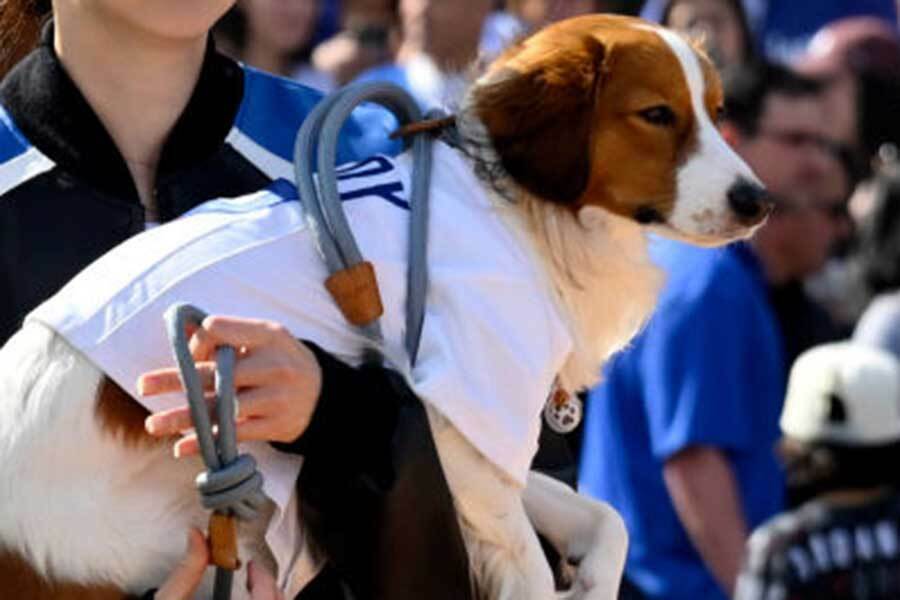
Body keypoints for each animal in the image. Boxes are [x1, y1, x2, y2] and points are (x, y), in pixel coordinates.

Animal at [0, 14, 768, 600]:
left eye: (717, 113)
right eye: (657, 115)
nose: (758, 201)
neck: (516, 202)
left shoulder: (481, 440)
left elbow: (608, 519)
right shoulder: (463, 415)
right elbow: (528, 562)